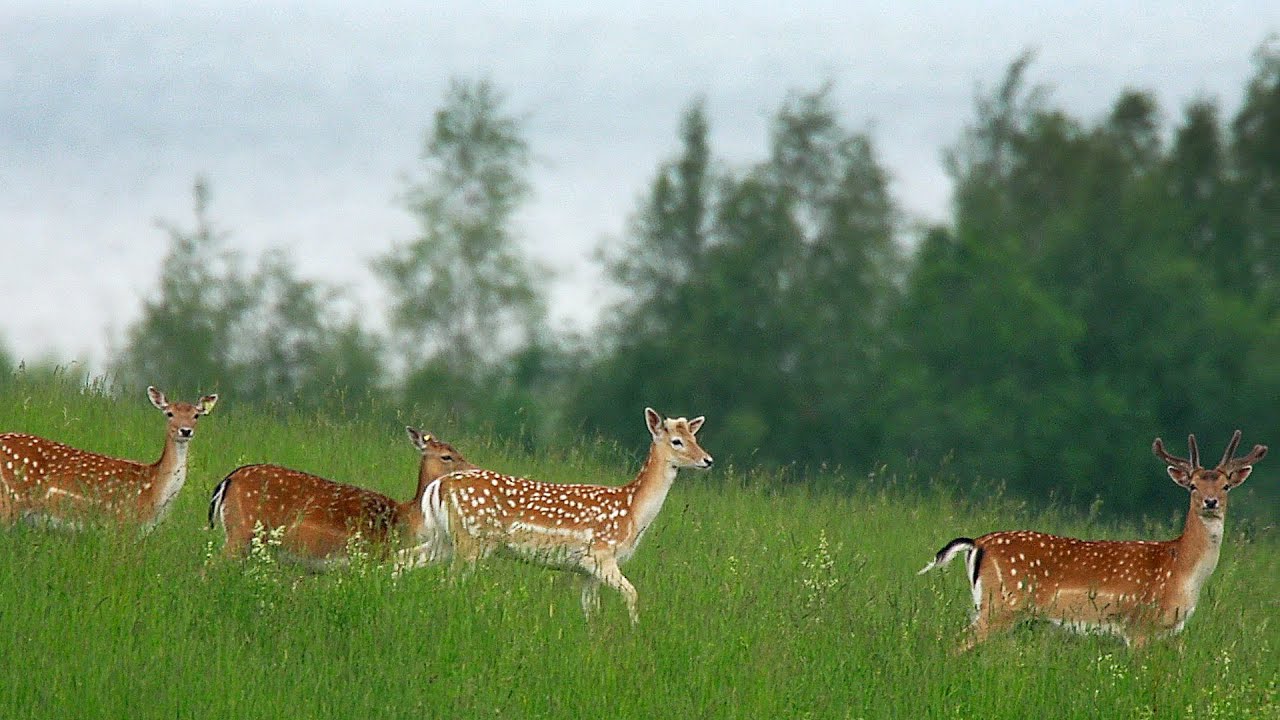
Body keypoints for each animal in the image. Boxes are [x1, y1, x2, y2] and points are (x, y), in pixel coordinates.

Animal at [0, 386, 218, 532]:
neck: (154, 490)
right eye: (169, 413)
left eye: (196, 415)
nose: (185, 430)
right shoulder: (121, 522)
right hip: (9, 500)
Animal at [208, 427, 475, 568]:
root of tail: (227, 481)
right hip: (241, 531)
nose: (473, 468)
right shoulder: (368, 554)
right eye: (447, 456)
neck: (404, 520)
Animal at [416, 407, 713, 625]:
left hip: (446, 540)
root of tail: (440, 485)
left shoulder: (586, 569)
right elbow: (632, 594)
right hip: (471, 541)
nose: (708, 460)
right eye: (677, 441)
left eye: (695, 438)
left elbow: (591, 610)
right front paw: (635, 632)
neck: (632, 513)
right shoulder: (601, 556)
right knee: (450, 581)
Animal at [918, 430, 1267, 651]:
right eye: (1192, 485)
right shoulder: (1138, 626)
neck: (1181, 570)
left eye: (1225, 486)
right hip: (1000, 605)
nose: (1210, 502)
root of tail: (977, 543)